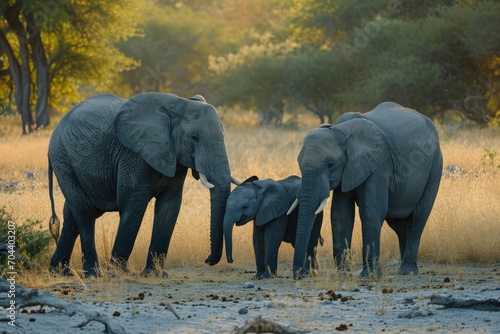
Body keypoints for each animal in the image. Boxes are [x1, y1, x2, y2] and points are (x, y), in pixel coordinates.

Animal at [48, 92, 240, 276]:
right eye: (194, 138)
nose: (207, 259)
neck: (178, 104)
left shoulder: (173, 157)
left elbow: (170, 205)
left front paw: (155, 274)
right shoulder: (132, 154)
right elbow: (135, 201)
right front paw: (119, 273)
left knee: (73, 214)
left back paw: (60, 272)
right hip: (63, 160)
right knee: (85, 211)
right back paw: (92, 273)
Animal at [292, 102, 444, 280]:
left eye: (330, 165)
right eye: (299, 164)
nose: (300, 275)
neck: (340, 131)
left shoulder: (379, 165)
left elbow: (370, 211)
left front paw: (368, 276)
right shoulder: (347, 170)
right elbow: (340, 214)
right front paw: (343, 274)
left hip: (434, 166)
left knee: (418, 218)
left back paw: (406, 271)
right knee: (399, 224)